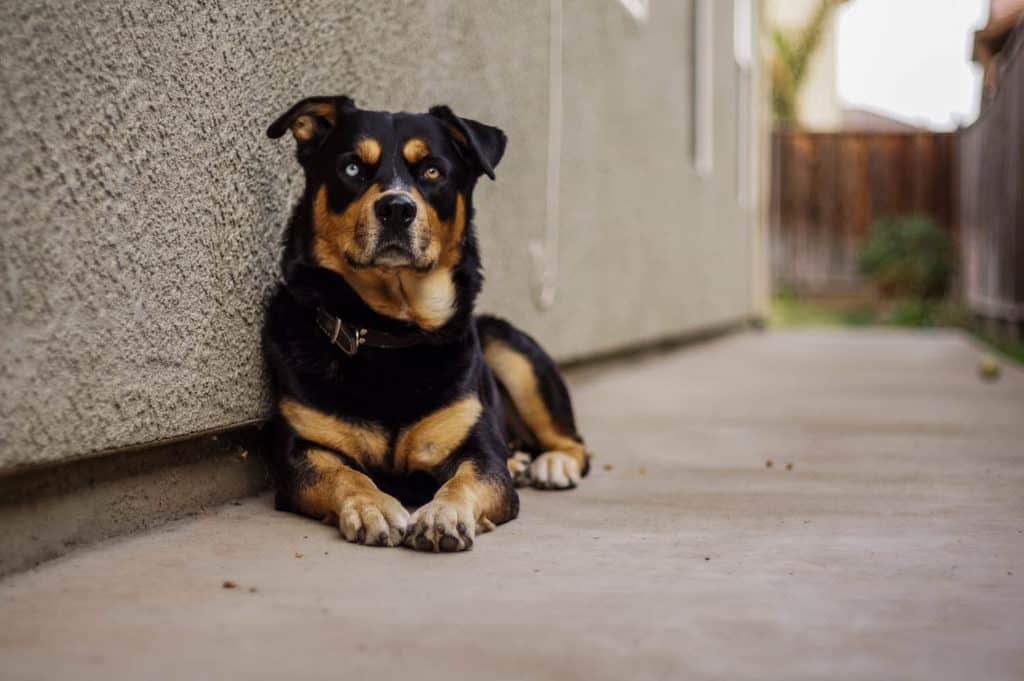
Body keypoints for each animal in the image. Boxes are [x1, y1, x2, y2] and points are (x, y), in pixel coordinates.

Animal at [260, 96, 589, 552]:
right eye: (352, 168)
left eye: (432, 170)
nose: (397, 208)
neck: (390, 331)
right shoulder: (302, 451)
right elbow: (346, 474)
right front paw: (373, 507)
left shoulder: (481, 456)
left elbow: (465, 481)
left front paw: (442, 514)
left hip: (511, 347)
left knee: (574, 443)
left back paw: (551, 464)